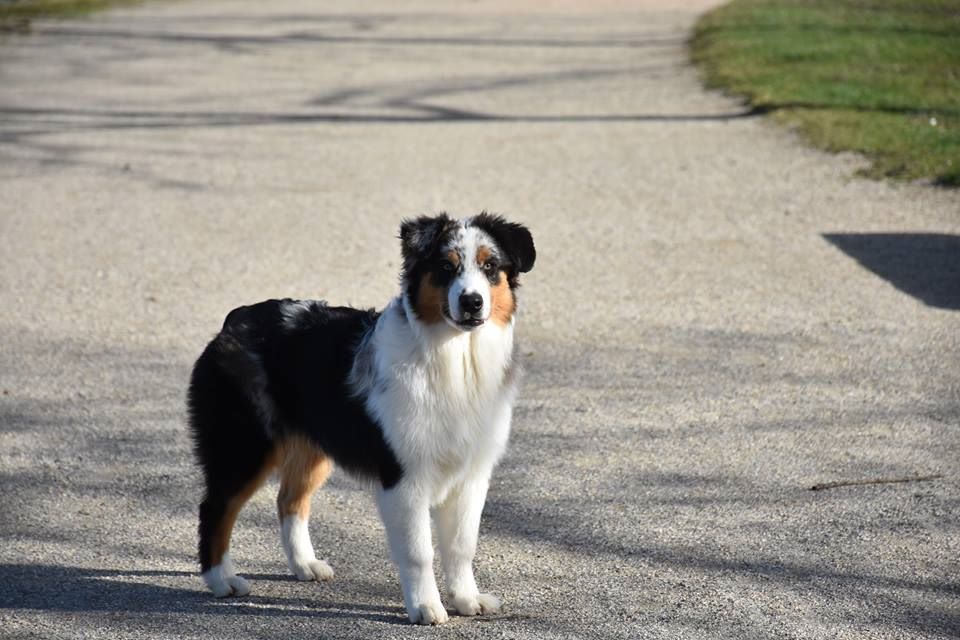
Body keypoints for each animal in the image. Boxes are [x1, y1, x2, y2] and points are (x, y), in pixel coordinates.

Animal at [187, 212, 535, 625]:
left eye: (490, 266)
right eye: (446, 267)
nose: (472, 302)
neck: (455, 358)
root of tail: (235, 319)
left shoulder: (472, 474)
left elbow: (462, 546)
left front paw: (467, 599)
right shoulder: (404, 477)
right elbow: (419, 551)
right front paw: (425, 607)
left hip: (311, 449)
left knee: (289, 501)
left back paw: (304, 564)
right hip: (243, 446)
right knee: (216, 508)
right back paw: (221, 580)